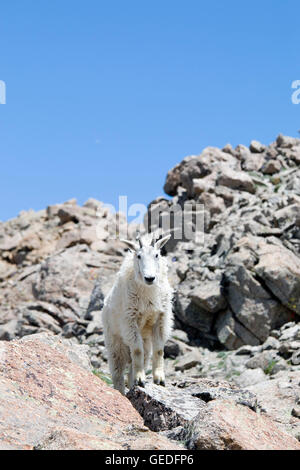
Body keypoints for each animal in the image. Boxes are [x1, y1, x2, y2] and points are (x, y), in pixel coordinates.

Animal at [103, 233, 173, 394]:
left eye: (157, 254)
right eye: (139, 256)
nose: (150, 278)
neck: (148, 294)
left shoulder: (161, 318)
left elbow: (159, 350)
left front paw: (159, 379)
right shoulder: (130, 321)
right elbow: (136, 350)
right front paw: (141, 379)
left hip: (145, 343)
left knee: (131, 369)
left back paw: (133, 385)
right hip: (115, 343)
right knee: (118, 372)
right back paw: (122, 392)